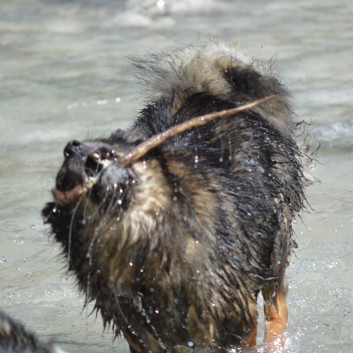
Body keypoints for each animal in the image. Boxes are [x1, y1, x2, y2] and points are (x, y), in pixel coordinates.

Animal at [42, 42, 308, 350]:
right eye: (64, 179)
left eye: (108, 150)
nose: (73, 148)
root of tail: (206, 93)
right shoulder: (139, 327)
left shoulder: (231, 307)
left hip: (274, 237)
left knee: (276, 304)